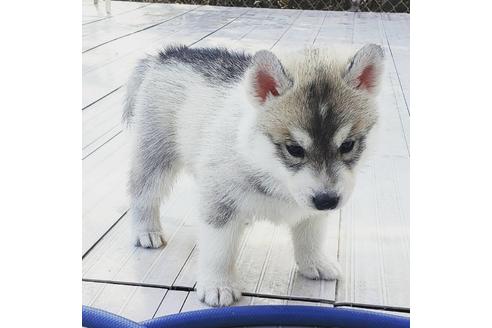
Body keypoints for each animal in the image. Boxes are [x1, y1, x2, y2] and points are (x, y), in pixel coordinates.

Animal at [123, 43, 384, 304]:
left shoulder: (312, 210)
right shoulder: (220, 200)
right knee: (143, 193)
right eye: (294, 149)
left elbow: (311, 236)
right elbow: (218, 250)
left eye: (348, 145)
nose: (327, 201)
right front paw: (219, 284)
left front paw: (315, 262)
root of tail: (165, 55)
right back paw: (147, 230)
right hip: (156, 157)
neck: (270, 170)